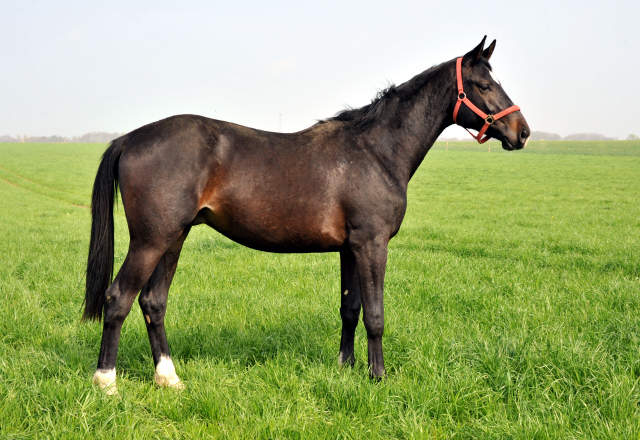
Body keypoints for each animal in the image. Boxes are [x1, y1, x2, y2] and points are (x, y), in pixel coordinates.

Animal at [84, 37, 528, 394]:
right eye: (485, 85)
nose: (521, 132)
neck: (375, 151)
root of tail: (129, 138)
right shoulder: (372, 245)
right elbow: (376, 315)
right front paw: (378, 377)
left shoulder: (350, 249)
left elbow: (350, 310)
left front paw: (346, 368)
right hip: (151, 241)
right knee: (119, 298)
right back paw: (107, 383)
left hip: (173, 238)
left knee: (153, 302)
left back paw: (168, 379)